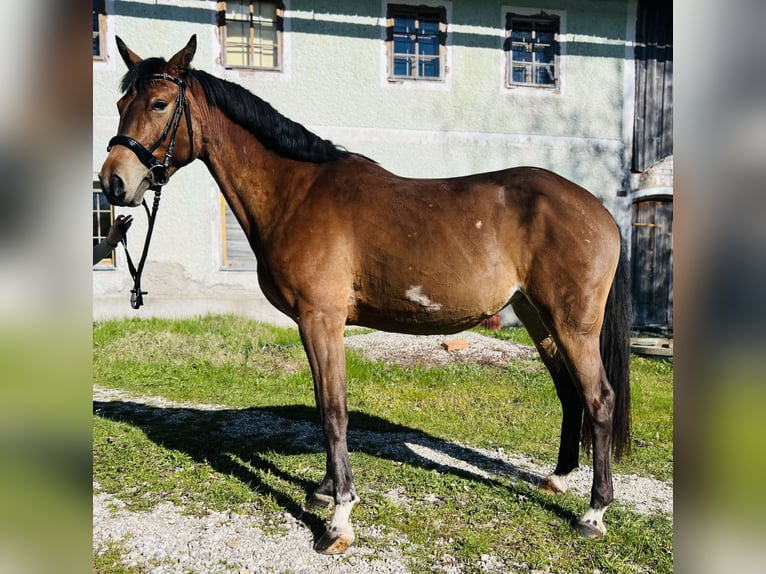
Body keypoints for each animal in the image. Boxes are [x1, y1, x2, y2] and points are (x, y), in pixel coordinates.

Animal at [99, 35, 631, 554]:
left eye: (161, 103)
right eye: (122, 103)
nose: (113, 182)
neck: (296, 192)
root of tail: (600, 211)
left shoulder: (321, 319)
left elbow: (334, 410)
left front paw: (338, 520)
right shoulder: (314, 324)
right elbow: (323, 404)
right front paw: (325, 489)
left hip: (573, 324)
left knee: (599, 398)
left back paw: (593, 513)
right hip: (537, 316)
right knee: (569, 392)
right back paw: (558, 479)